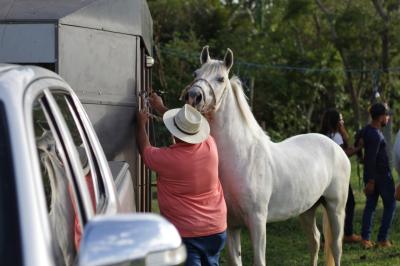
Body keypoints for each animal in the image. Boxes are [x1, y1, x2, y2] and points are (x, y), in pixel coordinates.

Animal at [183, 46, 352, 264]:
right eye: (195, 74)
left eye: (221, 79)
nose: (193, 96)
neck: (241, 157)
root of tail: (336, 148)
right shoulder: (232, 226)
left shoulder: (257, 222)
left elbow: (259, 260)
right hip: (307, 209)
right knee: (315, 240)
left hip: (335, 208)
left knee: (336, 247)